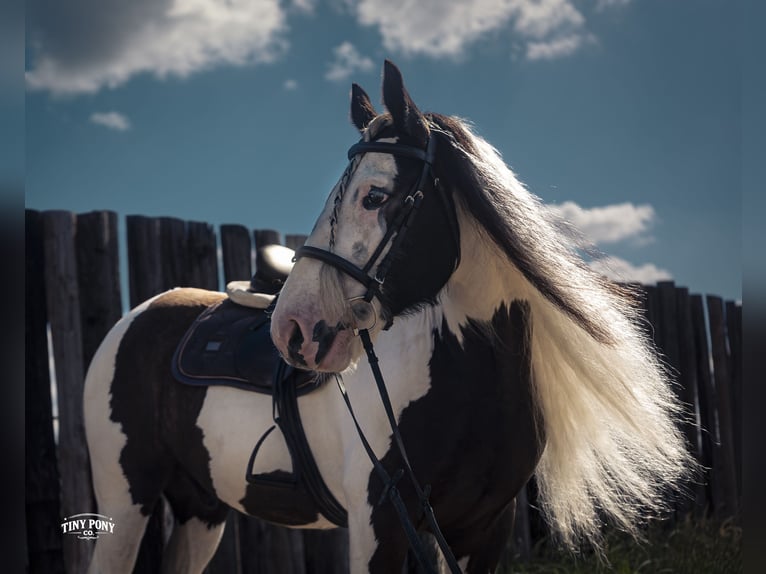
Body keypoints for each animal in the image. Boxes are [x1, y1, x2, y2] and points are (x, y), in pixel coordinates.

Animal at [83, 60, 692, 573]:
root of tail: (140, 315)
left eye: (374, 196)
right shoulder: (380, 523)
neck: (469, 387)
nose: (292, 330)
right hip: (126, 501)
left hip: (201, 508)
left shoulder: (481, 532)